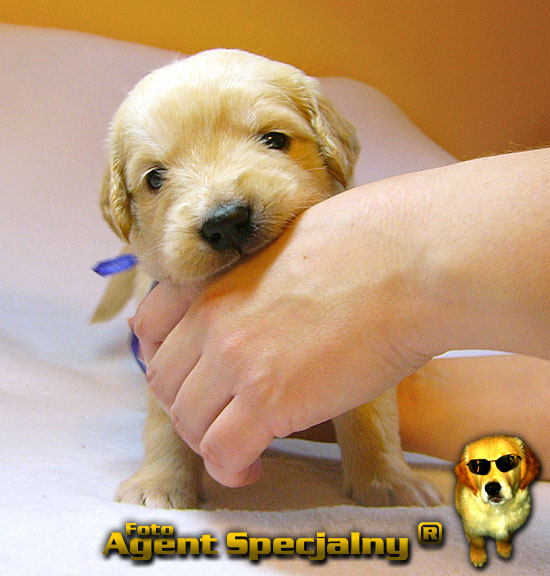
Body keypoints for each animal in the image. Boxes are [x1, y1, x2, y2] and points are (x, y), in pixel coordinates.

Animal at [454, 435, 540, 567]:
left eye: (509, 460)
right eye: (477, 465)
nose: (492, 488)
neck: (497, 510)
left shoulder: (510, 528)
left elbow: (505, 539)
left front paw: (504, 549)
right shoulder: (472, 528)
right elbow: (478, 543)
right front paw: (478, 557)